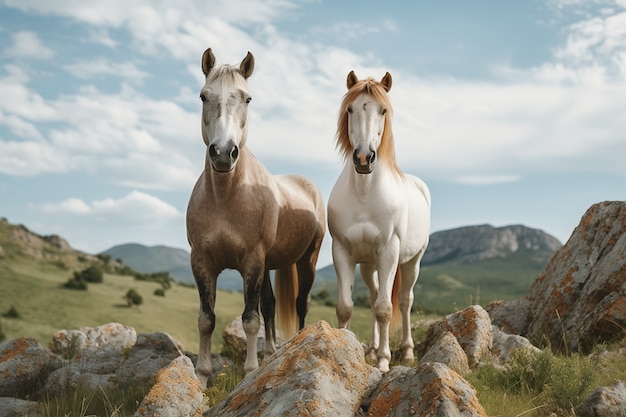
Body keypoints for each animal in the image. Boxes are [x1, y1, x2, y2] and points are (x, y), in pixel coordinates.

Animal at [185, 49, 324, 386]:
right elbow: (206, 319)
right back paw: (272, 351)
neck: (227, 197)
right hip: (271, 264)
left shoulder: (252, 261)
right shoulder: (202, 262)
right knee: (271, 305)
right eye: (203, 96)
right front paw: (202, 378)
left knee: (300, 303)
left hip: (306, 260)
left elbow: (250, 319)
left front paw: (250, 371)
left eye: (247, 98)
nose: (224, 153)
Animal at [326, 70, 428, 370]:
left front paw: (384, 361)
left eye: (383, 110)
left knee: (404, 301)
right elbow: (346, 306)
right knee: (373, 297)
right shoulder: (342, 252)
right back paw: (371, 349)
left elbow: (385, 308)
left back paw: (406, 351)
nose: (363, 158)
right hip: (369, 265)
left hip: (411, 261)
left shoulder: (389, 252)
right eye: (350, 109)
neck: (364, 193)